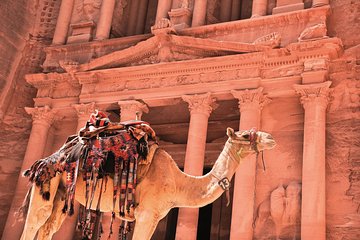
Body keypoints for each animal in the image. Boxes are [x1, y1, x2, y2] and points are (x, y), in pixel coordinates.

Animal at [19, 126, 276, 239]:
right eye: (245, 135)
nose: (271, 138)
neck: (178, 182)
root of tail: (44, 160)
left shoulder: (154, 216)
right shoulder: (146, 213)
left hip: (62, 196)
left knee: (48, 228)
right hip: (46, 184)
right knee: (34, 222)